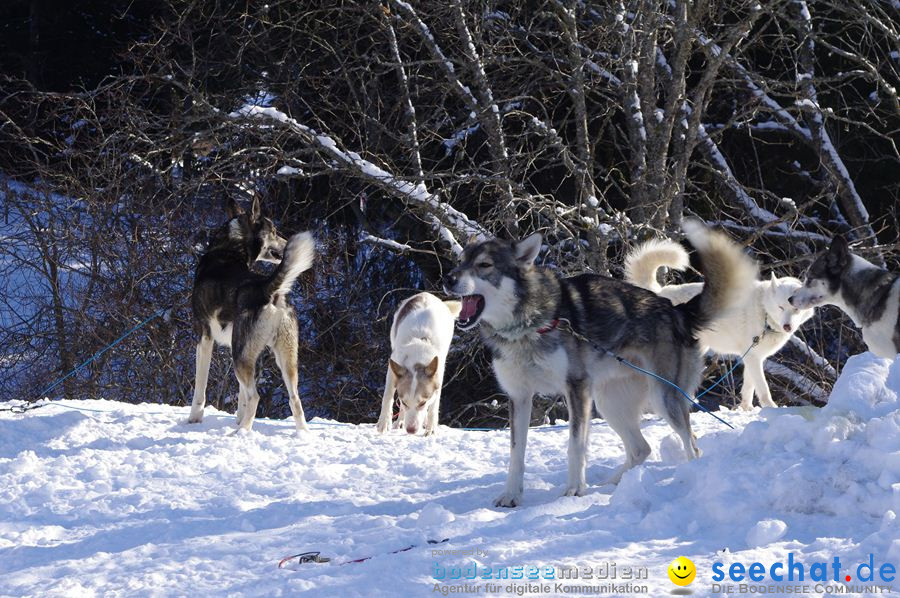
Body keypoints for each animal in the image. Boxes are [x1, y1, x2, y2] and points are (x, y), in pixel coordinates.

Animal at [188, 199, 314, 434]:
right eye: (274, 232)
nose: (286, 242)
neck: (229, 249)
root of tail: (268, 290)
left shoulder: (205, 338)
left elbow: (200, 388)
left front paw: (193, 419)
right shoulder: (238, 346)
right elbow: (241, 398)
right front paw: (238, 418)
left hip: (241, 357)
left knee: (255, 397)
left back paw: (241, 433)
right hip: (284, 357)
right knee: (295, 400)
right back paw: (302, 435)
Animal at [374, 292, 460, 436]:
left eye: (422, 403)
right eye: (405, 402)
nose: (411, 430)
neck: (419, 347)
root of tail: (426, 294)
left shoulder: (438, 378)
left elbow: (433, 407)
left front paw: (431, 428)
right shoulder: (393, 369)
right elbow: (388, 396)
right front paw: (384, 422)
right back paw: (399, 421)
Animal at [446, 220, 756, 506]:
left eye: (484, 264)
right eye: (460, 262)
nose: (448, 279)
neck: (526, 327)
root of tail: (676, 311)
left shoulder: (576, 389)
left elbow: (575, 446)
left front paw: (574, 491)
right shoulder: (519, 396)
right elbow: (516, 453)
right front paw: (512, 495)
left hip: (663, 397)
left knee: (691, 445)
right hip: (610, 403)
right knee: (641, 449)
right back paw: (613, 484)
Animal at [624, 239, 816, 412]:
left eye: (796, 309)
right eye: (781, 307)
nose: (787, 327)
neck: (764, 314)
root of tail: (659, 292)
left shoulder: (753, 357)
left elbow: (748, 388)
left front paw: (745, 409)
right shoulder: (753, 358)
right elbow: (763, 389)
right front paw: (772, 409)